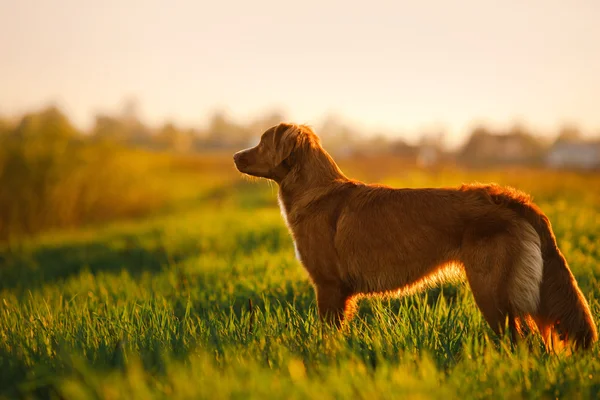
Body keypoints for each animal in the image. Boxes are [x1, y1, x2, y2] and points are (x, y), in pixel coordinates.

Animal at [232, 121, 596, 350]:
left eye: (262, 141)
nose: (235, 155)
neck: (315, 191)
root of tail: (513, 200)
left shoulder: (329, 287)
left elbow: (328, 335)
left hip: (493, 292)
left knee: (520, 343)